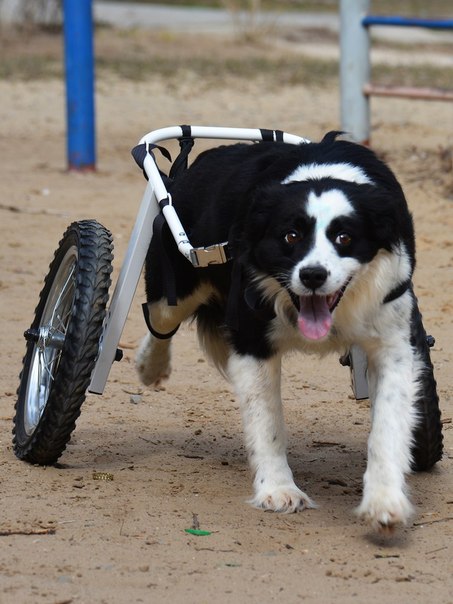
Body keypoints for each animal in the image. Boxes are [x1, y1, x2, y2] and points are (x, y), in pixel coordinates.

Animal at [135, 133, 420, 532]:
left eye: (345, 238)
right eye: (291, 236)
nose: (313, 275)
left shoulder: (392, 341)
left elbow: (388, 425)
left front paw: (384, 500)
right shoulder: (252, 341)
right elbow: (267, 420)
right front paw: (278, 490)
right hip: (176, 285)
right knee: (158, 318)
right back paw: (151, 367)